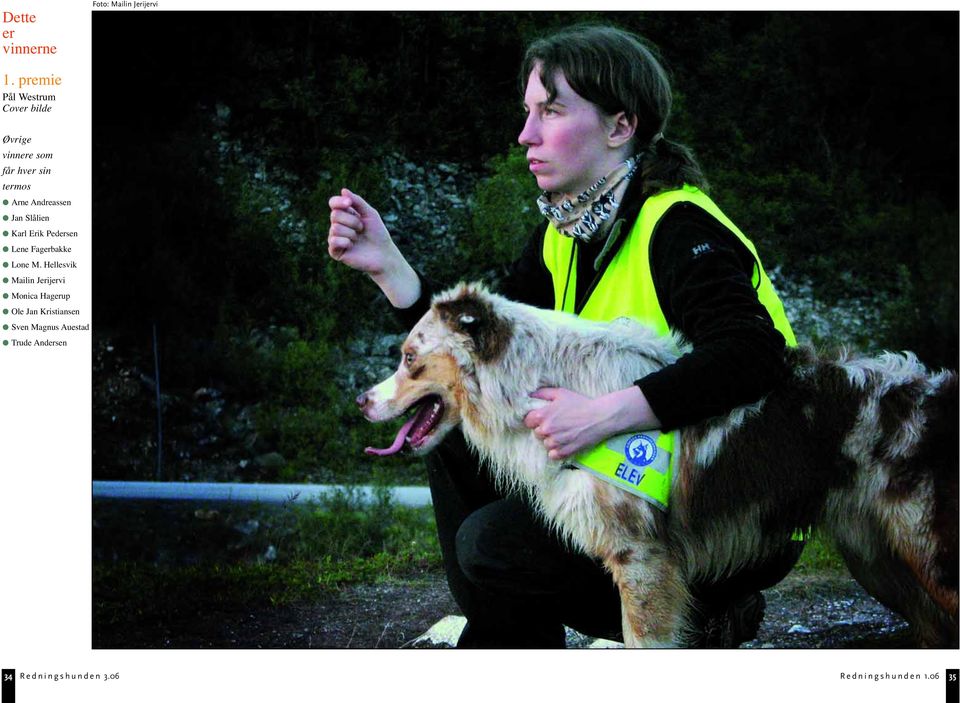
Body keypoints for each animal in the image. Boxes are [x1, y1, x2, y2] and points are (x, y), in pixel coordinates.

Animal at [356, 284, 956, 648]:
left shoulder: (642, 559)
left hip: (925, 552)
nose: (362, 401)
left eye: (409, 359)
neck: (539, 383)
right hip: (877, 555)